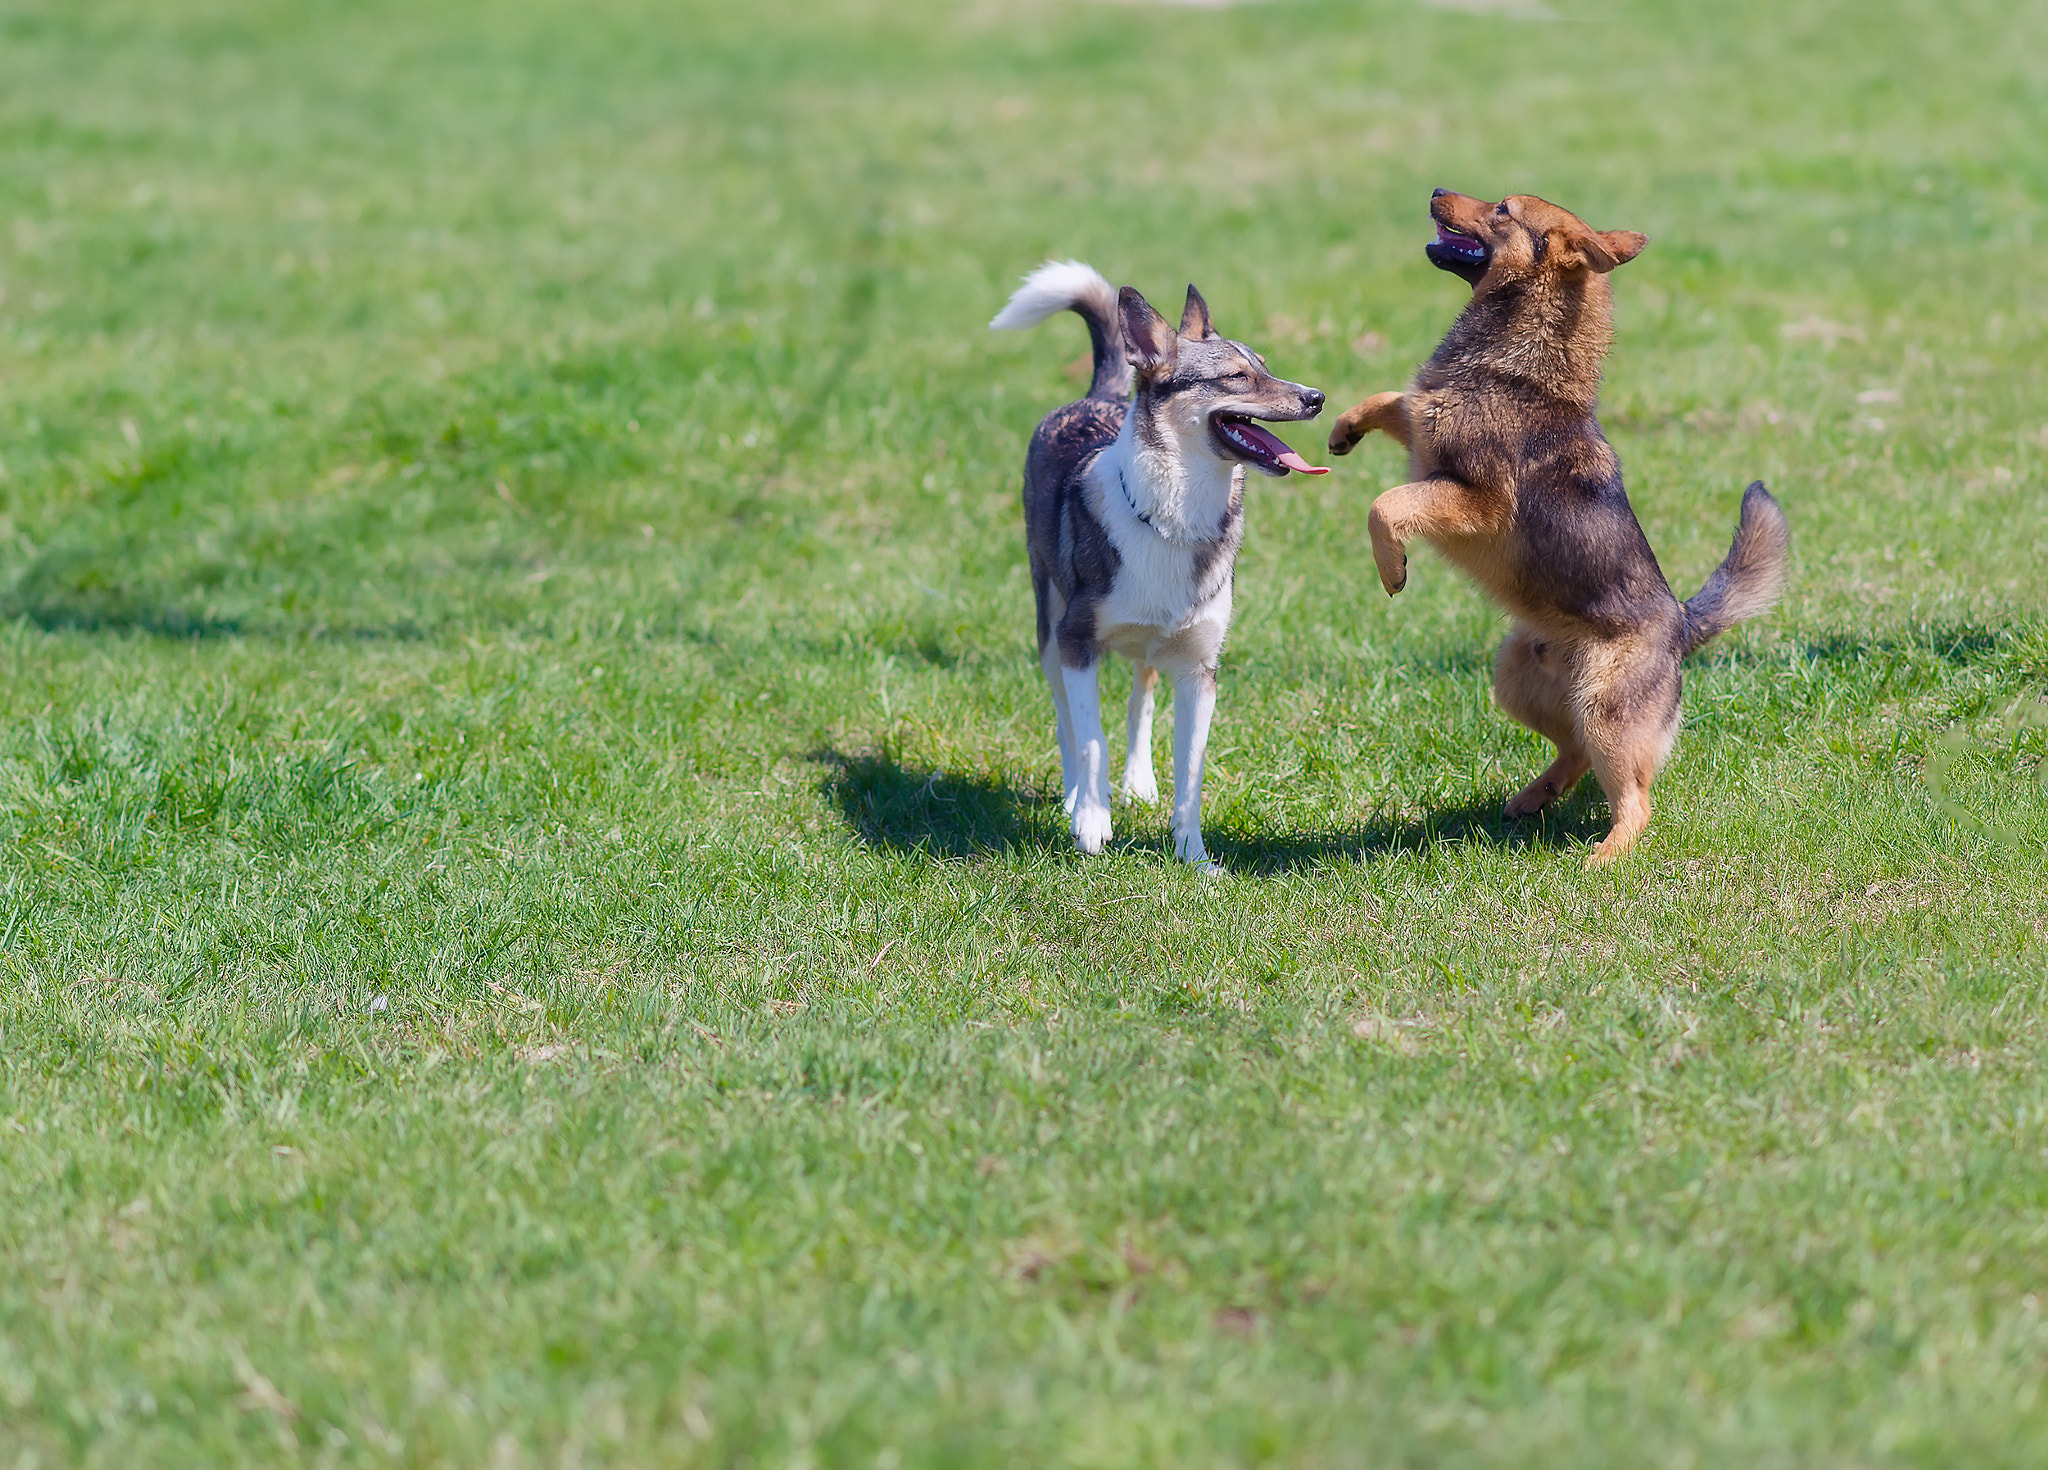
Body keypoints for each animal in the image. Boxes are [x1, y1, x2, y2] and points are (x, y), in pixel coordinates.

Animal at [991, 261, 1327, 868]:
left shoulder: (1199, 669)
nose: (1316, 397)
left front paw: (1194, 856)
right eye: (1238, 377)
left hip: (1149, 648)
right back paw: (1074, 798)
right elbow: (1090, 738)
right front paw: (1092, 824)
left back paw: (1138, 783)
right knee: (1067, 721)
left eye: (1266, 366)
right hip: (1047, 626)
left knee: (1139, 701)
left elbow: (1189, 770)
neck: (1176, 517)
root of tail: (1094, 396)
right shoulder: (1077, 643)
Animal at [1327, 190, 1794, 868]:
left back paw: (1606, 855)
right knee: (1572, 754)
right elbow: (1392, 400)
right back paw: (1533, 798)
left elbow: (1385, 504)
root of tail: (1682, 624)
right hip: (1514, 681)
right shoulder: (1422, 431)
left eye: (1501, 208)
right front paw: (1342, 429)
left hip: (1605, 711)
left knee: (1633, 798)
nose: (1436, 191)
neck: (1519, 361)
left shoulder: (1475, 500)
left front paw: (1393, 568)